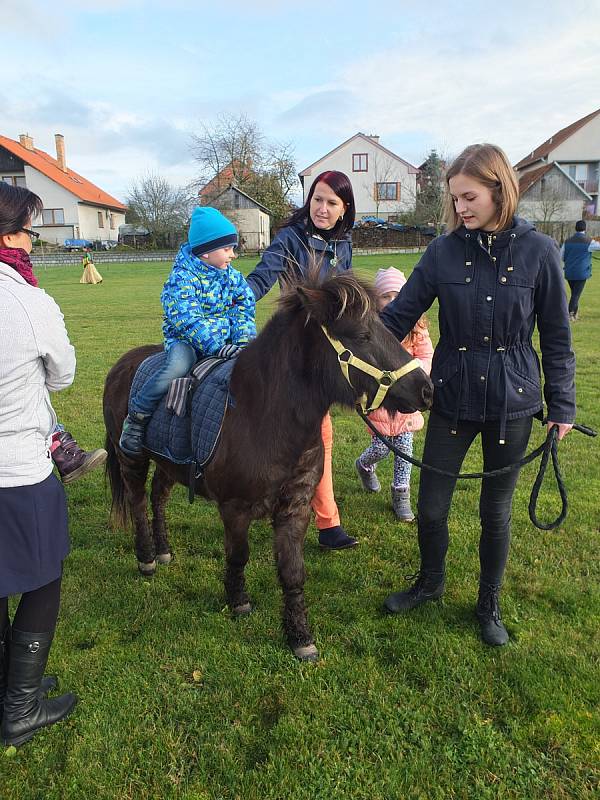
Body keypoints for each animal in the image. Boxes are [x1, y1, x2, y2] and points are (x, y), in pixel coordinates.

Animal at [103, 272, 432, 660]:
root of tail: (123, 363)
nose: (426, 389)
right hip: (133, 458)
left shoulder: (295, 509)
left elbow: (292, 571)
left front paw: (300, 637)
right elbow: (238, 556)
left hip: (170, 463)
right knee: (138, 502)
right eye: (362, 335)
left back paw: (164, 550)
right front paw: (238, 601)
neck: (262, 415)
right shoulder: (234, 508)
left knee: (158, 498)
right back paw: (147, 558)